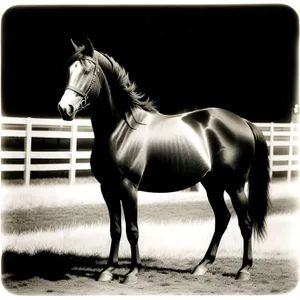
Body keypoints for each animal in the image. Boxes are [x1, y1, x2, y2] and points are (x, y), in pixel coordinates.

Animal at [58, 38, 270, 284]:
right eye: (67, 71)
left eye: (86, 71)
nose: (64, 109)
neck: (121, 129)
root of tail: (244, 121)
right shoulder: (107, 187)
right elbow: (115, 229)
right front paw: (107, 270)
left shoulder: (128, 187)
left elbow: (132, 229)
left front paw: (132, 272)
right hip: (212, 185)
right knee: (222, 218)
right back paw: (202, 265)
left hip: (235, 186)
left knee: (245, 223)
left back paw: (244, 270)